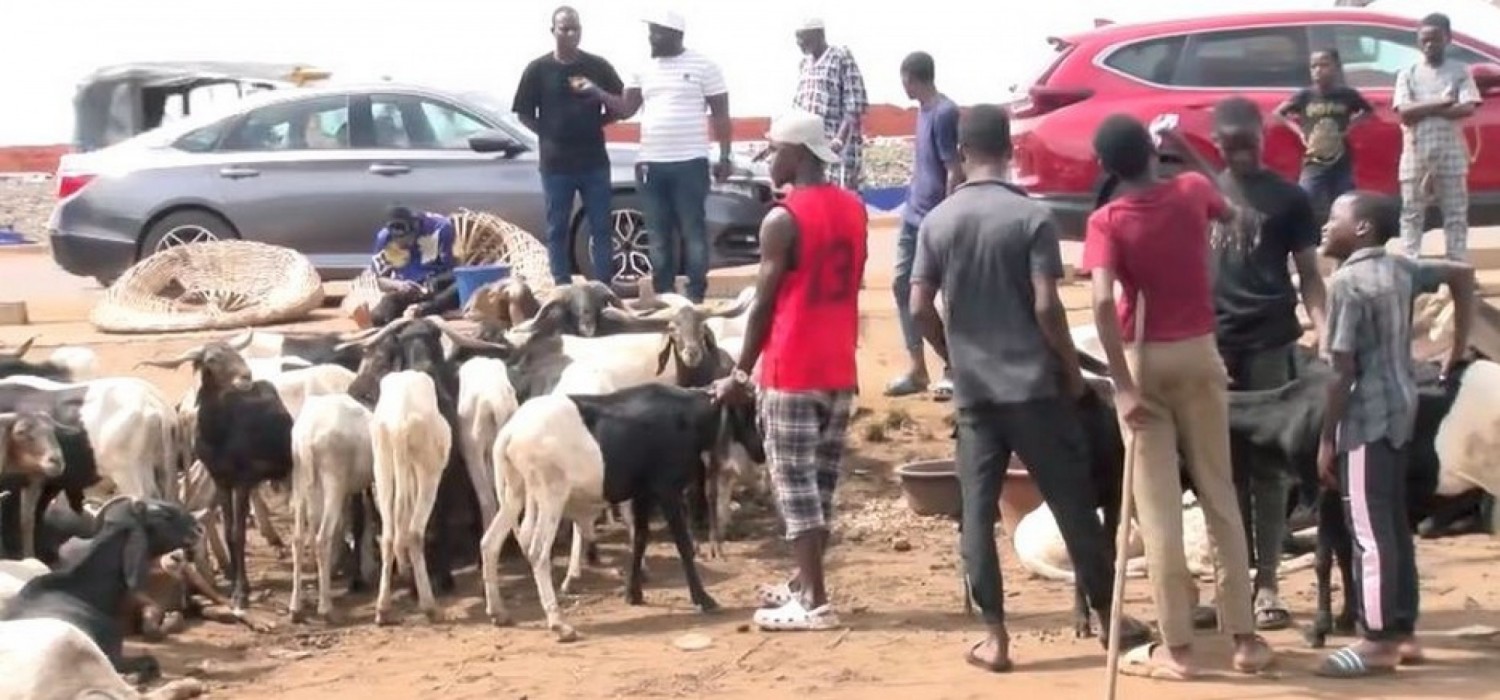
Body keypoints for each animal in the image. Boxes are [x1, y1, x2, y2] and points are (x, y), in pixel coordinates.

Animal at [289, 395, 375, 623]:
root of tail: (307, 434)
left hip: (299, 479)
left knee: (298, 539)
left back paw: (295, 608)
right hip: (333, 479)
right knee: (322, 538)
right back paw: (325, 607)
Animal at [369, 373, 450, 623]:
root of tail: (398, 425)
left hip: (382, 463)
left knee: (388, 536)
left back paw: (382, 609)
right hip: (430, 470)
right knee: (414, 533)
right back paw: (429, 606)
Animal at [480, 383, 762, 641]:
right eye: (748, 410)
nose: (760, 451)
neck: (687, 416)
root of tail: (510, 431)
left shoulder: (642, 493)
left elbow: (639, 538)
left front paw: (633, 593)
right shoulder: (667, 489)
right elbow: (682, 545)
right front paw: (703, 599)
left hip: (514, 491)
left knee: (489, 542)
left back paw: (498, 612)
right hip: (551, 495)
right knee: (538, 552)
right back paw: (559, 624)